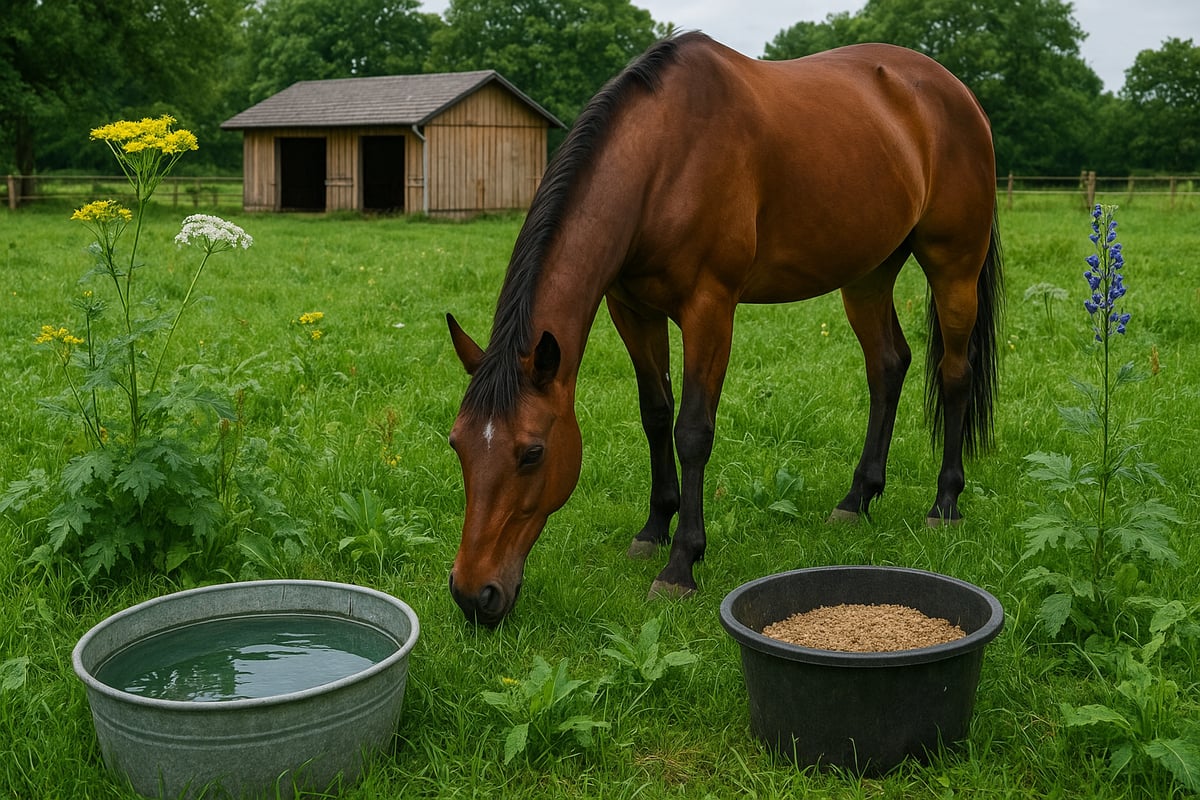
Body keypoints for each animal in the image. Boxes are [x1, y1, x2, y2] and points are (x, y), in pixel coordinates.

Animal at [446, 32, 1003, 626]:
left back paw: (944, 503)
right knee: (888, 366)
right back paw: (856, 499)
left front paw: (680, 564)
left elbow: (692, 430)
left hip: (954, 266)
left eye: (532, 453)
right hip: (867, 275)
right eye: (457, 444)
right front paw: (653, 529)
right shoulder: (632, 309)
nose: (474, 594)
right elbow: (655, 414)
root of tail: (958, 92)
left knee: (954, 373)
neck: (664, 159)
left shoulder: (709, 308)